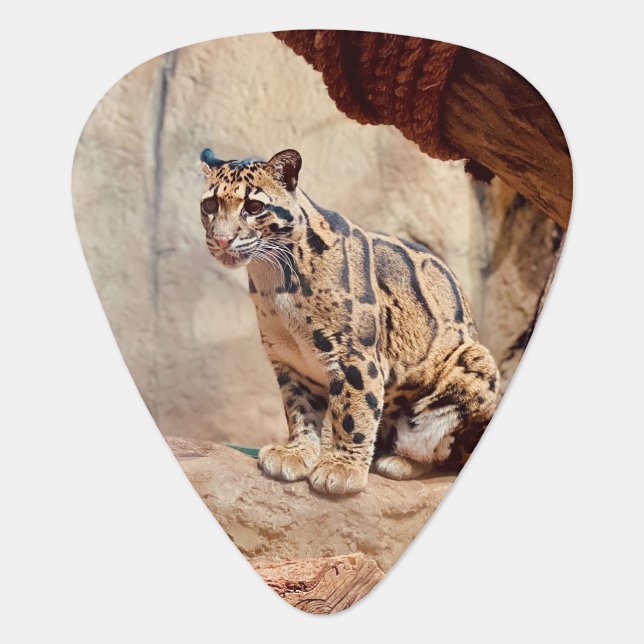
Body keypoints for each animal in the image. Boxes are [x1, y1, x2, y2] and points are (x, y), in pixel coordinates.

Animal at [199, 147, 499, 495]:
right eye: (210, 205)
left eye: (254, 207)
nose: (222, 240)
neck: (272, 278)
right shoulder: (290, 360)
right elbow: (299, 410)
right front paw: (297, 453)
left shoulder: (353, 355)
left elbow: (354, 412)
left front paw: (341, 468)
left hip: (475, 362)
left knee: (441, 451)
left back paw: (399, 461)